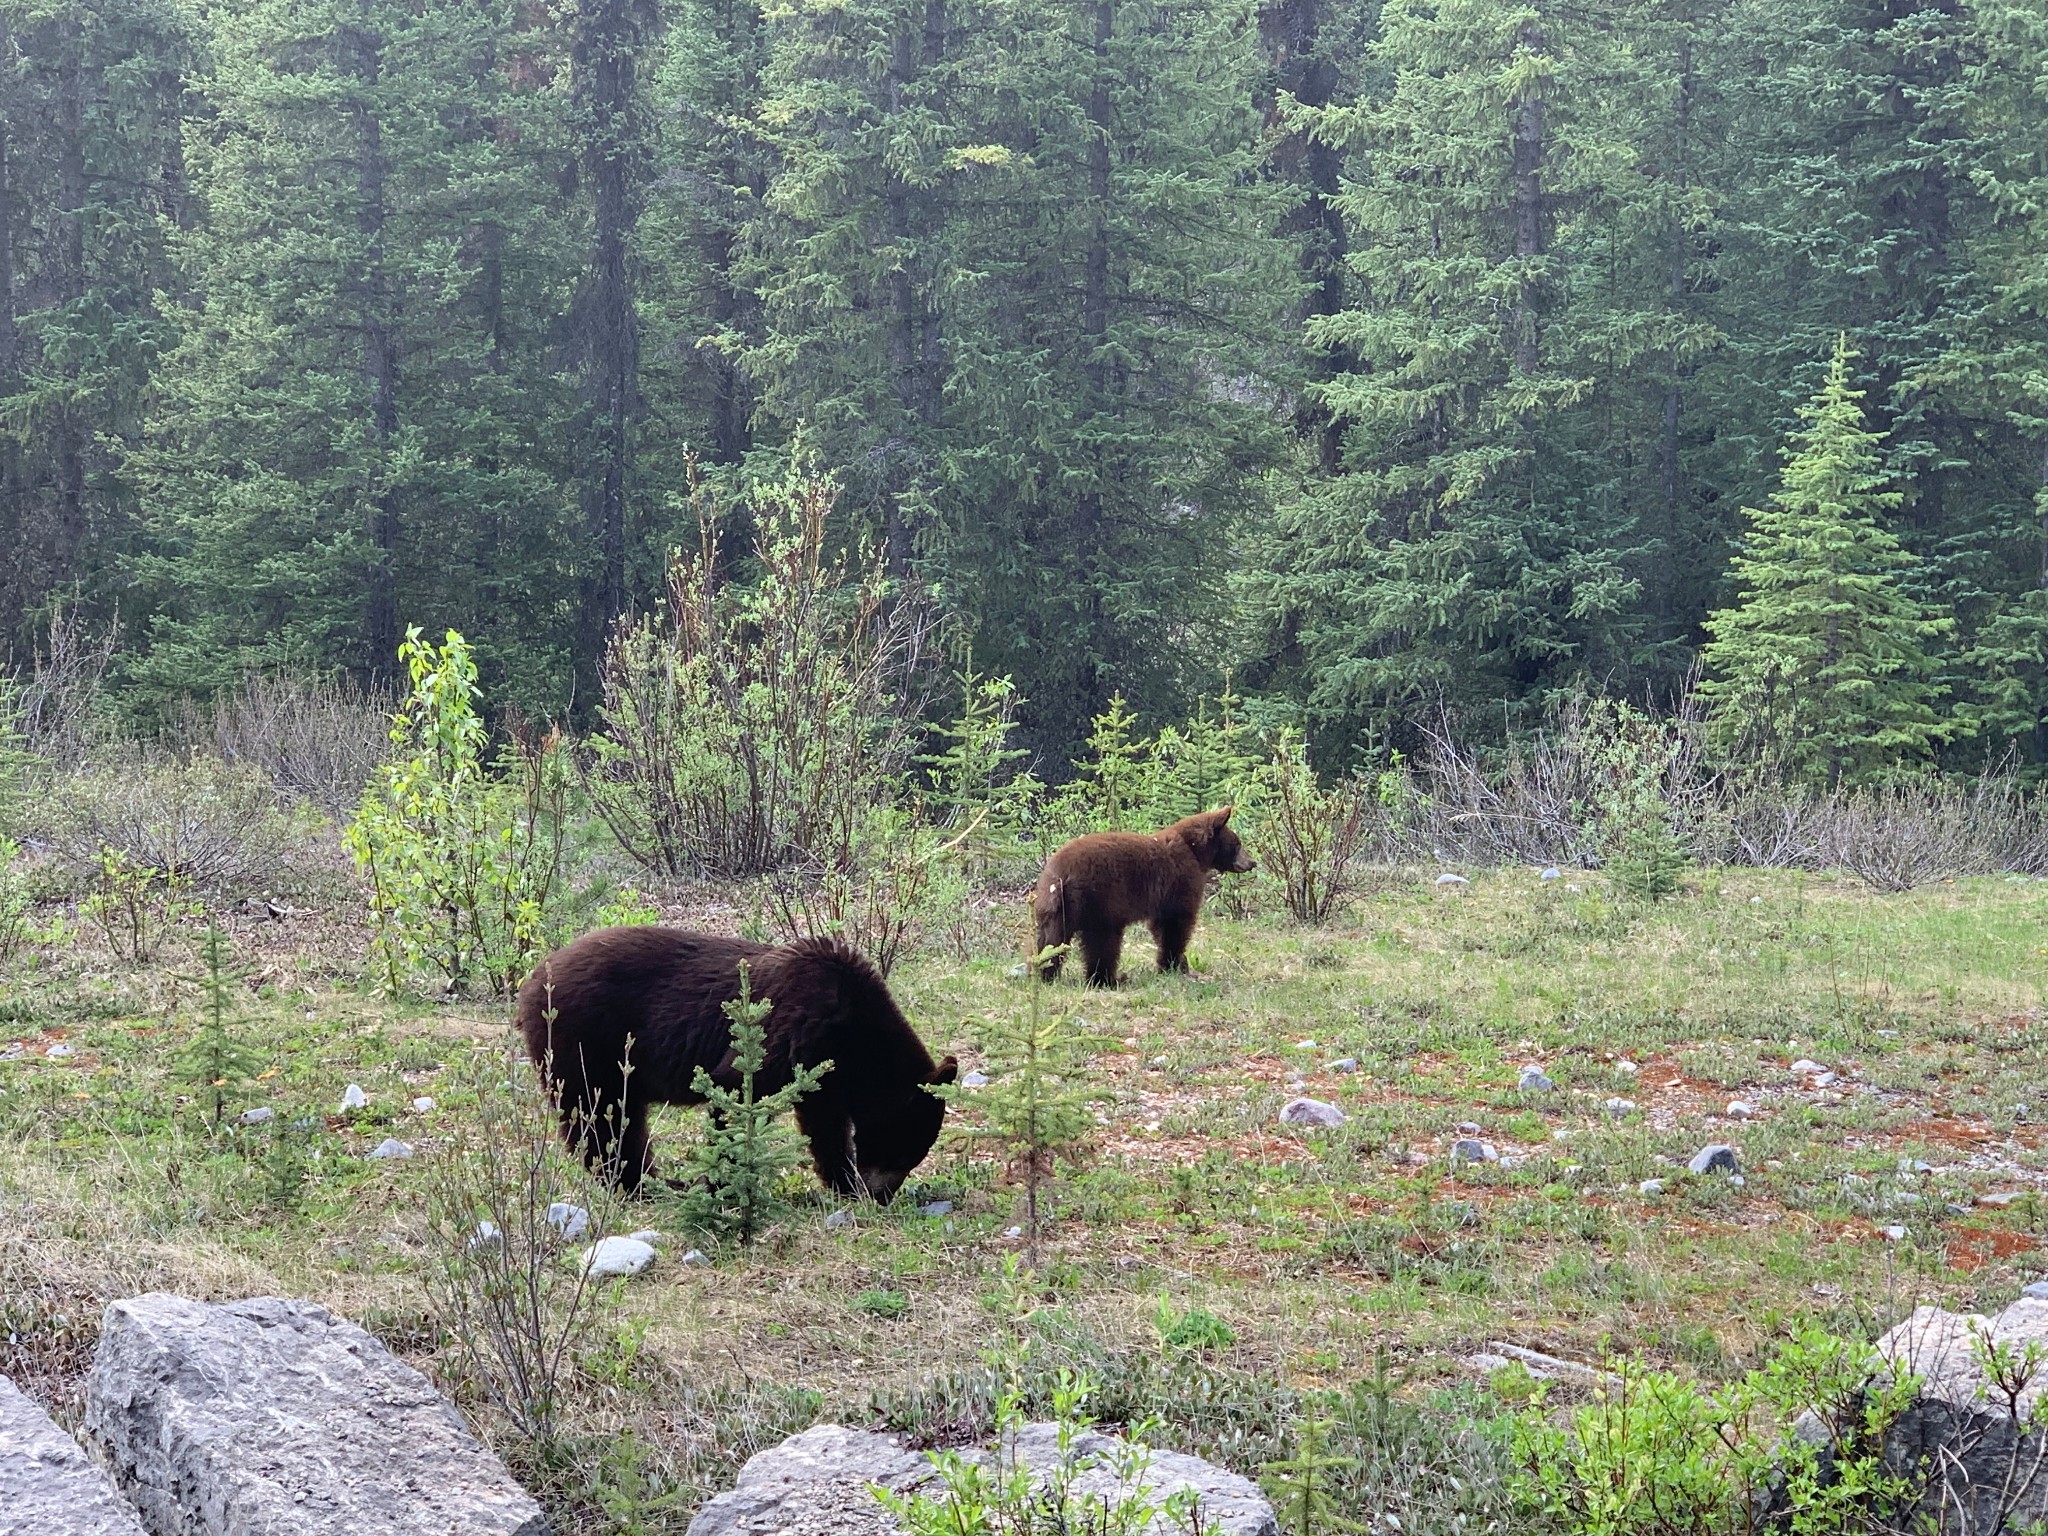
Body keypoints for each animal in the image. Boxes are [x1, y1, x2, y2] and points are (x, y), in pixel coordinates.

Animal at [516, 925, 954, 1204]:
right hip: (586, 1042)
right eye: (904, 1153)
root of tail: (532, 979)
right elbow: (735, 1089)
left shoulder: (820, 1070)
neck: (854, 1034)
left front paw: (843, 1183)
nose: (883, 1196)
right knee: (597, 1113)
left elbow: (825, 1125)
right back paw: (642, 1185)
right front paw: (721, 1184)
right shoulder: (792, 1026)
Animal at [1032, 811, 1253, 991]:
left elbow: (1159, 927)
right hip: (1100, 901)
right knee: (1102, 942)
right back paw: (1108, 980)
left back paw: (1045, 974)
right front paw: (1174, 965)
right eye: (1238, 844)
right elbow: (1176, 924)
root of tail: (1062, 874)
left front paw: (1179, 965)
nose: (1252, 862)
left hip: (1055, 908)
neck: (1194, 851)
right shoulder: (1181, 882)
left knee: (1051, 940)